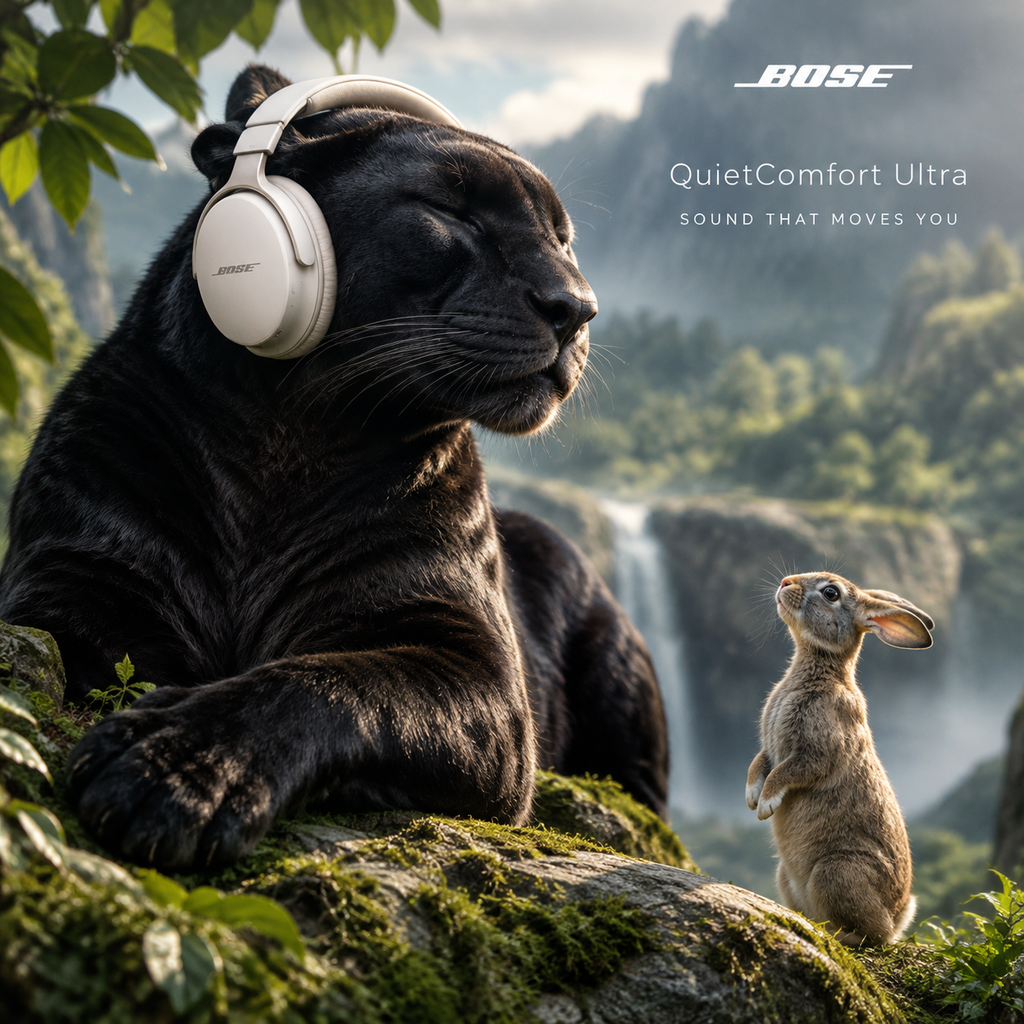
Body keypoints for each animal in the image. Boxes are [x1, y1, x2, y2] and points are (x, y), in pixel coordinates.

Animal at [745, 570, 934, 946]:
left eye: (831, 593)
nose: (786, 583)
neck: (818, 664)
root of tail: (899, 915)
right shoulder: (768, 749)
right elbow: (758, 764)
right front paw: (751, 797)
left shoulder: (818, 750)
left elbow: (790, 772)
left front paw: (766, 805)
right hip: (786, 875)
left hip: (835, 872)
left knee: (875, 937)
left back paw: (841, 936)